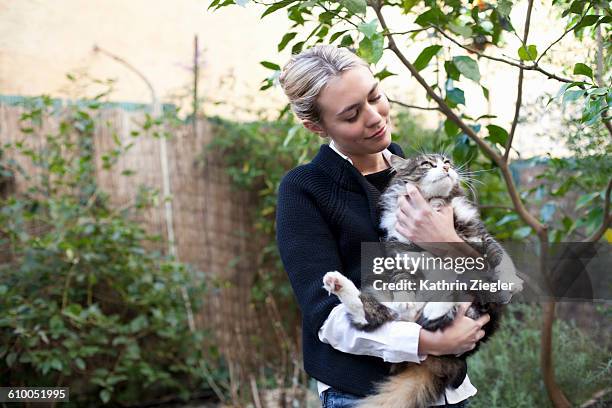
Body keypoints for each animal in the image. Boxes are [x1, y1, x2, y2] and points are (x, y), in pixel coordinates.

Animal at [322, 154, 524, 408]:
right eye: (427, 164)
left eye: (447, 161)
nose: (447, 168)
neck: (432, 202)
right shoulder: (399, 253)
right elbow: (402, 280)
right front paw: (405, 298)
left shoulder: (478, 239)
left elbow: (500, 256)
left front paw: (512, 281)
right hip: (382, 297)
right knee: (370, 313)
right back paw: (338, 282)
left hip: (479, 303)